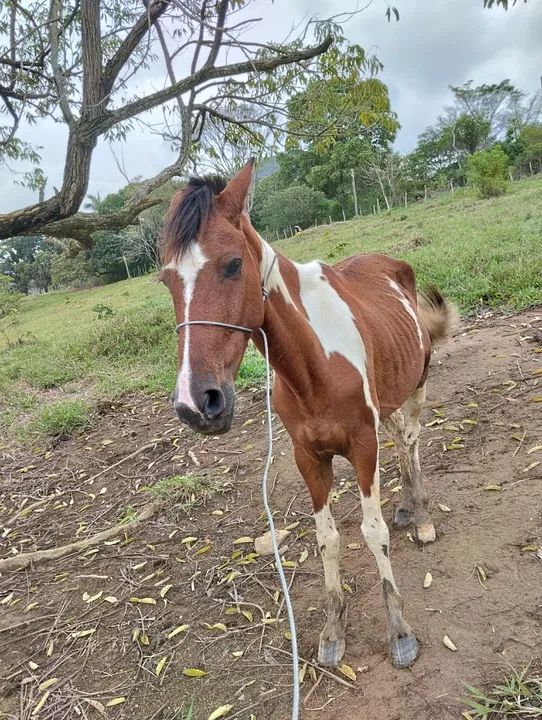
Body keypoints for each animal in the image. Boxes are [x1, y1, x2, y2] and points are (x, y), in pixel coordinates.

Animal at [159, 160, 457, 670]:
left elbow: (372, 531)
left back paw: (419, 516)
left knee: (413, 440)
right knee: (401, 439)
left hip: (417, 385)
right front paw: (333, 631)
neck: (313, 366)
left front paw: (399, 631)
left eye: (233, 264)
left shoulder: (362, 445)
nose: (197, 403)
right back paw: (405, 507)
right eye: (166, 280)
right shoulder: (308, 456)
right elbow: (328, 538)